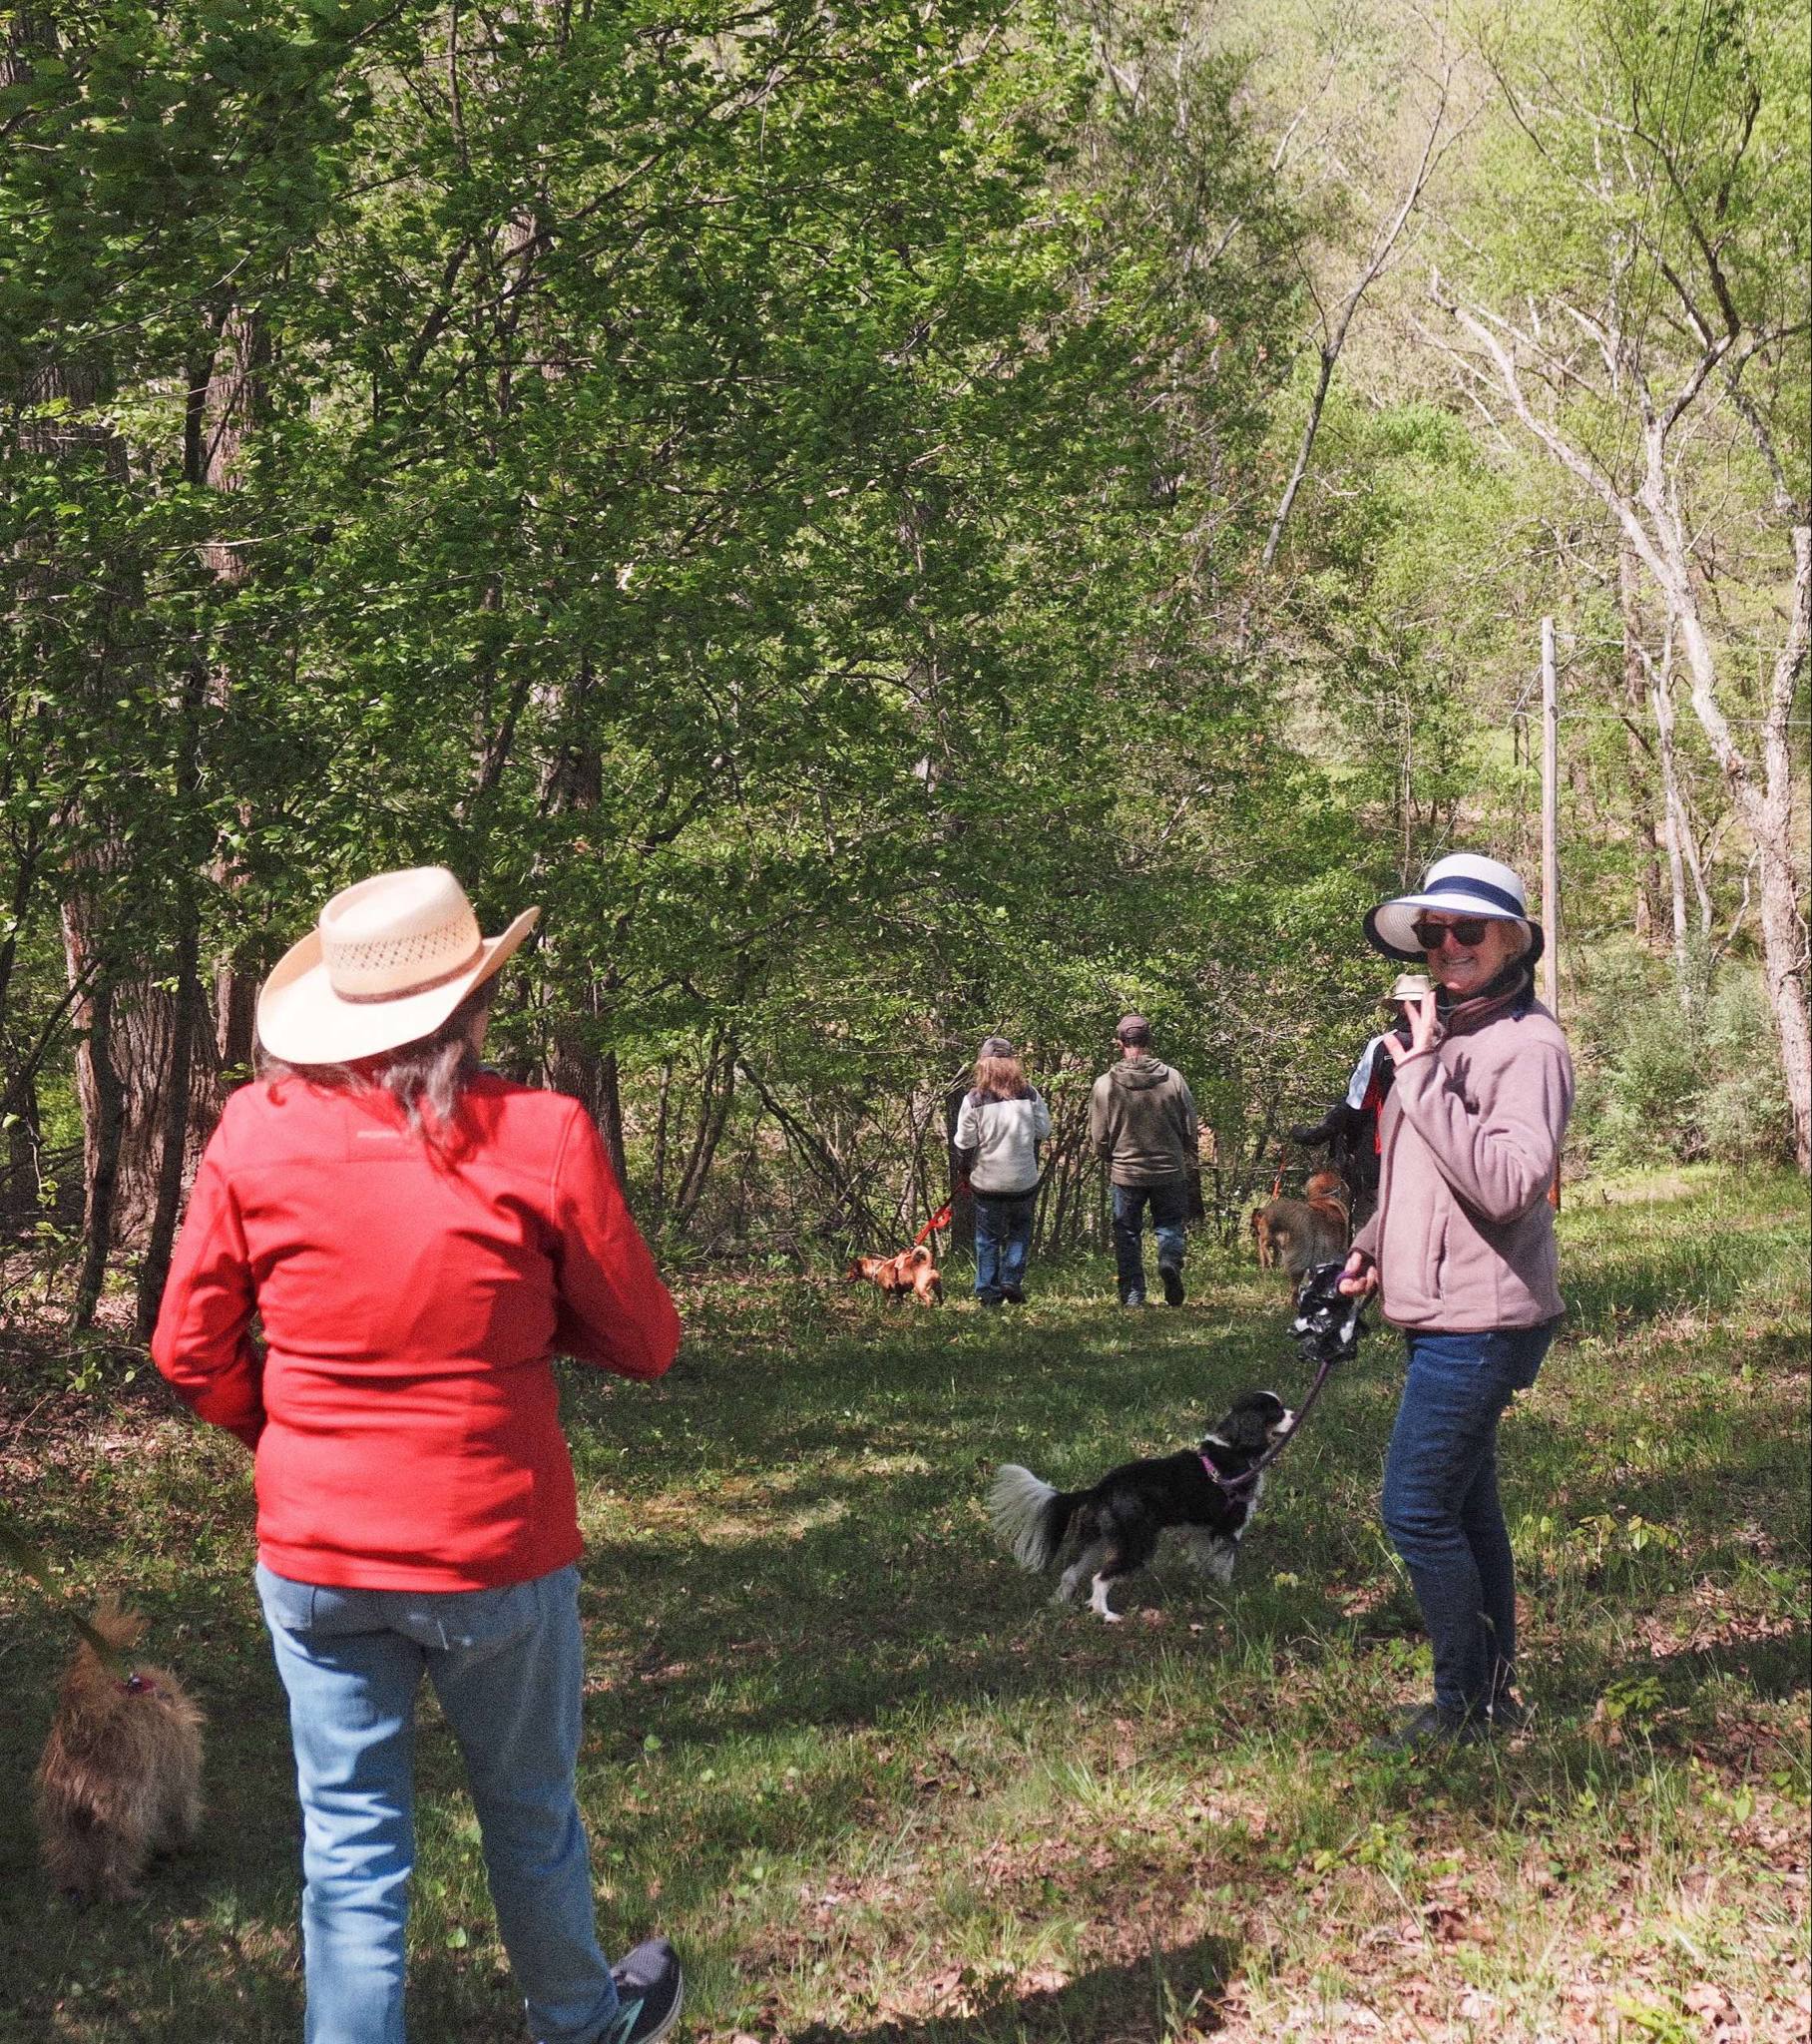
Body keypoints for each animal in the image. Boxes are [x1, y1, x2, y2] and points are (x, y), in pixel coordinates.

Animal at [34, 1599, 204, 1900]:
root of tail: (84, 1734)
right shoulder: (178, 1785)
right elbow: (181, 1814)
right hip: (125, 1813)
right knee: (117, 1857)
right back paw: (124, 1892)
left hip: (64, 1816)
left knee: (68, 1851)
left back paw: (74, 1888)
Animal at [988, 1390, 1293, 1622]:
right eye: (1277, 1412)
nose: (1293, 1415)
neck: (1234, 1446)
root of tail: (1102, 1487)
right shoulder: (1230, 1525)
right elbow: (1225, 1563)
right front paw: (1228, 1593)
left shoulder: (1202, 1529)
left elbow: (1204, 1560)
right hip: (1136, 1542)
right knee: (1099, 1578)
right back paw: (1107, 1616)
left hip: (1098, 1539)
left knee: (1071, 1572)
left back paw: (1059, 1604)